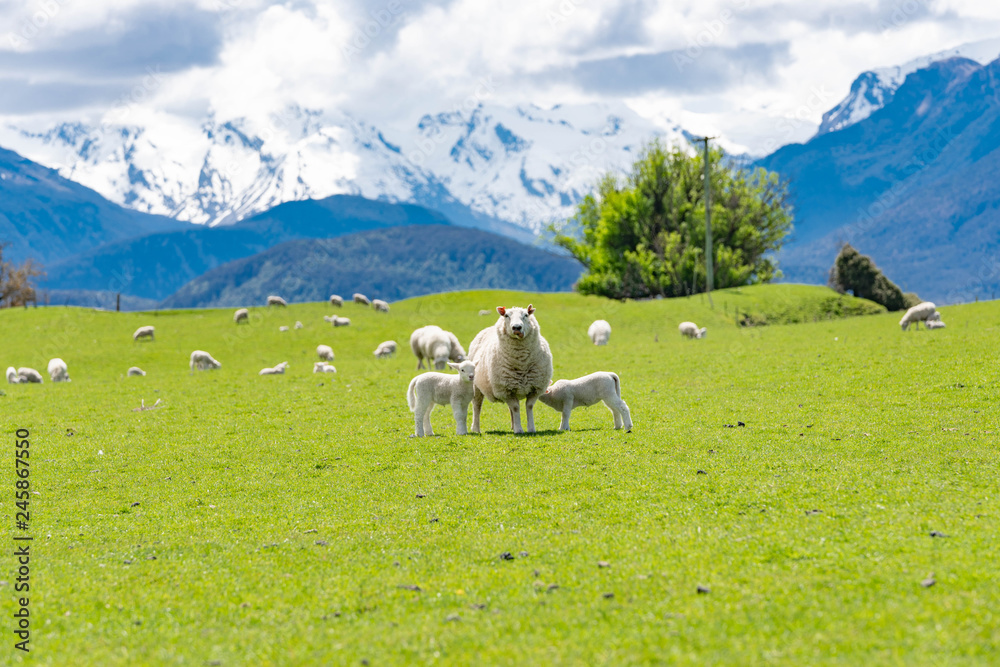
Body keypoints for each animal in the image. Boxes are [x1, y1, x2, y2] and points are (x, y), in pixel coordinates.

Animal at [469, 305, 553, 435]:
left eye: (526, 315)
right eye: (506, 315)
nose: (517, 327)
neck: (521, 362)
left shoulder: (535, 388)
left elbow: (527, 407)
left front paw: (531, 429)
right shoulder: (505, 389)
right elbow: (516, 408)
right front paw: (519, 430)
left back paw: (513, 426)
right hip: (476, 386)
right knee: (477, 406)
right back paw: (476, 429)